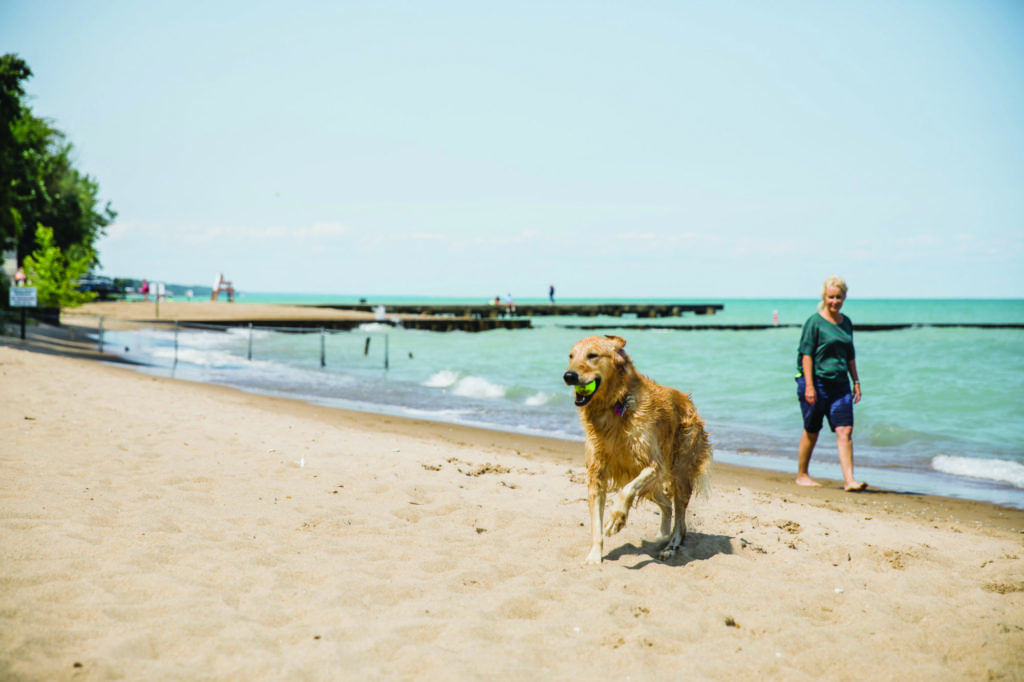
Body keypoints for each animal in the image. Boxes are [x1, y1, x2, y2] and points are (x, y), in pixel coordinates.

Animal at [561, 333, 712, 561]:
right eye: (571, 356)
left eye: (592, 355)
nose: (569, 376)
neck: (614, 405)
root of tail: (688, 400)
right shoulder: (596, 473)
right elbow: (596, 524)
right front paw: (594, 557)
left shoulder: (654, 465)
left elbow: (626, 491)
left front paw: (616, 519)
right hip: (651, 484)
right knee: (667, 504)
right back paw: (662, 536)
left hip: (679, 471)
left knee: (680, 517)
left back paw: (671, 546)